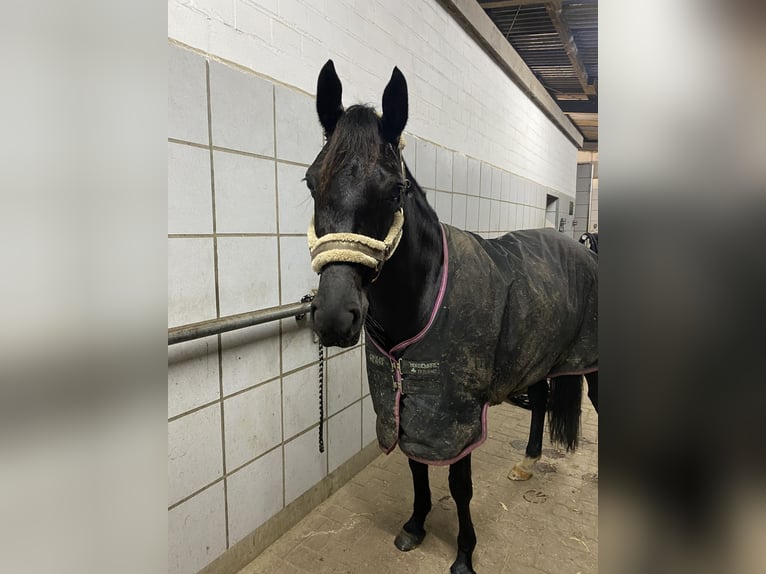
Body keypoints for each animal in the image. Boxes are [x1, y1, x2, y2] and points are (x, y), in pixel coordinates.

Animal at [306, 60, 600, 572]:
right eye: (310, 182)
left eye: (394, 190)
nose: (334, 317)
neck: (423, 296)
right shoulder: (409, 404)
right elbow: (415, 465)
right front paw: (415, 526)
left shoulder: (458, 412)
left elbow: (459, 485)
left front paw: (463, 554)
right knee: (542, 400)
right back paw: (526, 462)